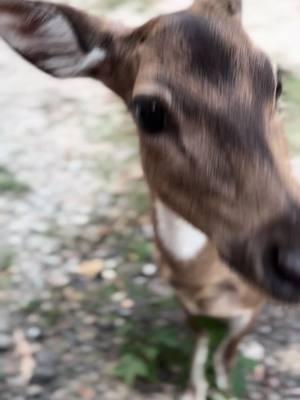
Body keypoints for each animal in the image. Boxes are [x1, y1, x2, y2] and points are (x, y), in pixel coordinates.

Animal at [0, 0, 300, 398]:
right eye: (148, 111)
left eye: (276, 81)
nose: (295, 258)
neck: (203, 286)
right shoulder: (186, 304)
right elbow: (201, 343)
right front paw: (195, 388)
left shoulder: (254, 307)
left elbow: (228, 351)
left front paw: (224, 385)